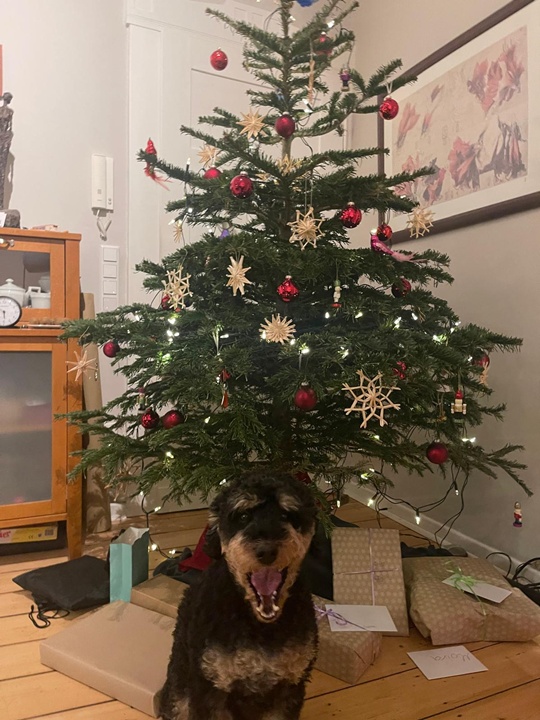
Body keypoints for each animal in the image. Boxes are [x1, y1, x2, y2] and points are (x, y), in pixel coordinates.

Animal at [159, 471, 318, 720]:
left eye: (286, 514)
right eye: (243, 515)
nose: (266, 551)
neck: (260, 627)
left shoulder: (289, 687)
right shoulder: (211, 687)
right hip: (179, 692)